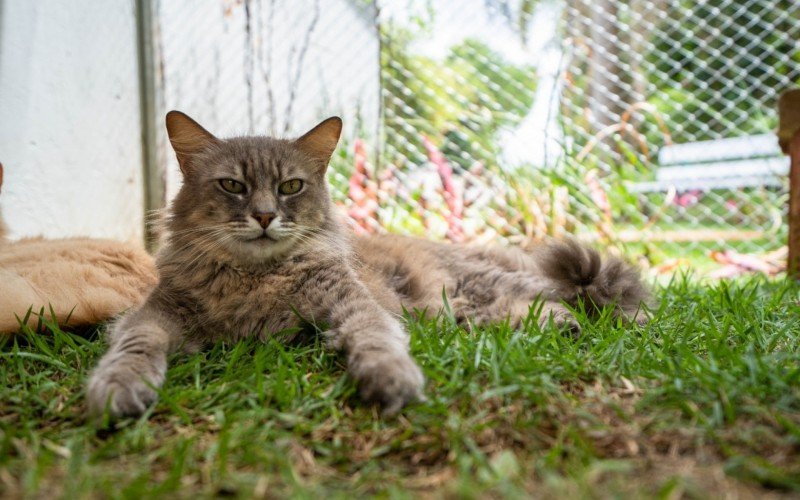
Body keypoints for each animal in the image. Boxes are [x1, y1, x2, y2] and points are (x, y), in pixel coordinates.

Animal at [87, 112, 648, 418]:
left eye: (291, 186)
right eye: (232, 185)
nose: (265, 216)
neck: (256, 279)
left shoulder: (351, 300)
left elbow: (375, 338)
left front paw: (389, 379)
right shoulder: (156, 314)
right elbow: (134, 349)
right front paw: (117, 389)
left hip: (483, 282)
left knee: (583, 297)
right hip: (464, 305)